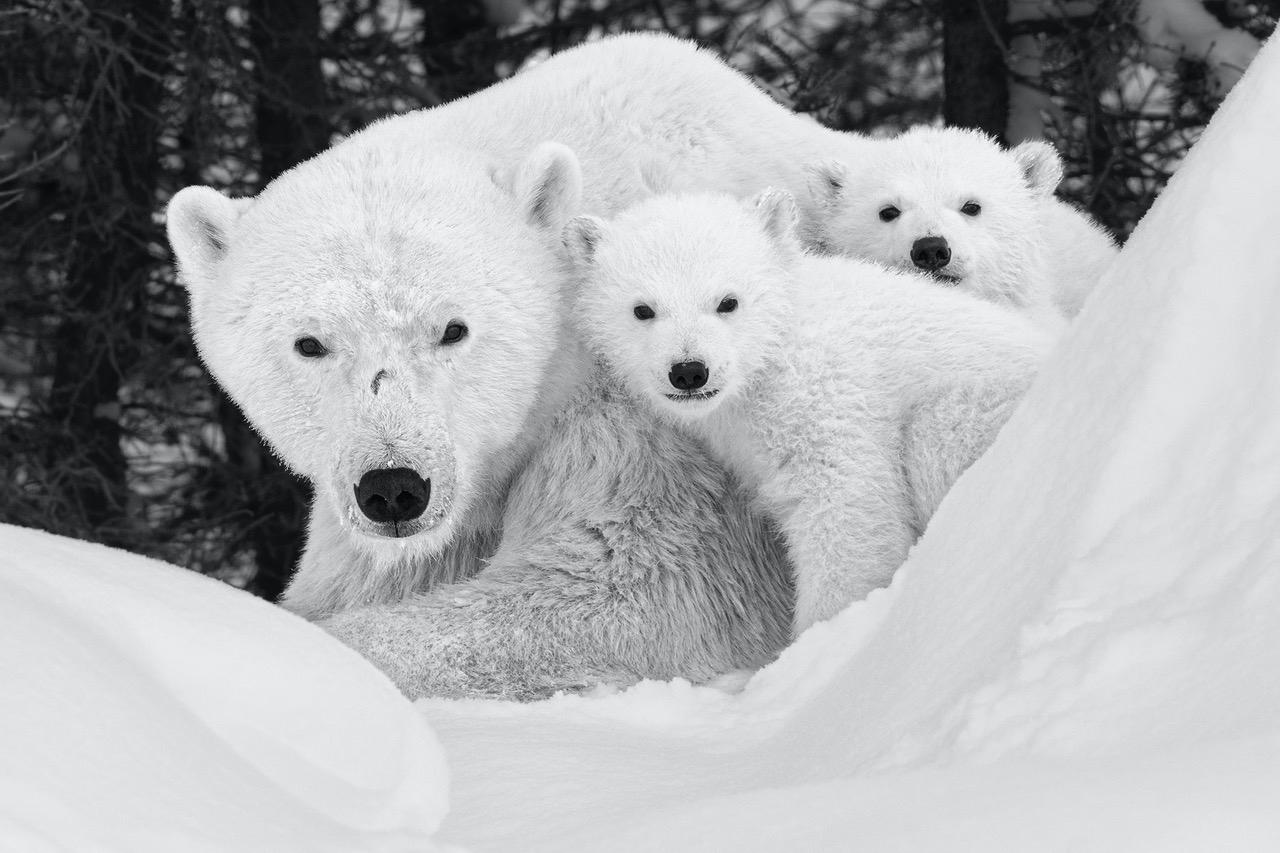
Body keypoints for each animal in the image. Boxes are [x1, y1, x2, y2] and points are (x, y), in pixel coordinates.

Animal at [570, 190, 1049, 630]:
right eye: (642, 309)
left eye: (728, 301)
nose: (689, 371)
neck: (778, 345)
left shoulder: (827, 396)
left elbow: (846, 507)